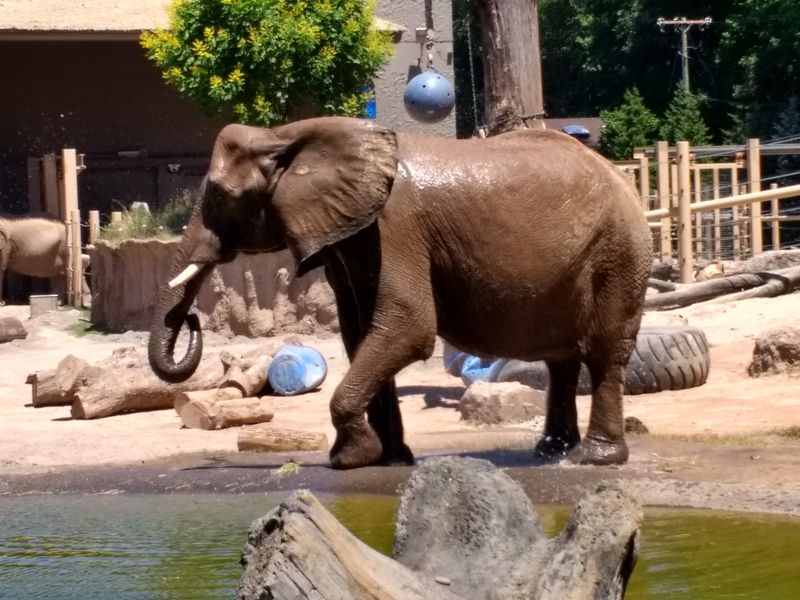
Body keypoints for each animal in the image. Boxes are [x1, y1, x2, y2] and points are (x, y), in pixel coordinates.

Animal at [148, 116, 652, 469]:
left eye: (218, 196)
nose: (192, 320)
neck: (289, 136)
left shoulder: (395, 228)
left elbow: (406, 327)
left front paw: (350, 459)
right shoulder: (350, 236)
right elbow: (363, 334)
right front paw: (387, 458)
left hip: (618, 252)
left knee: (603, 355)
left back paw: (593, 459)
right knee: (561, 359)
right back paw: (550, 452)